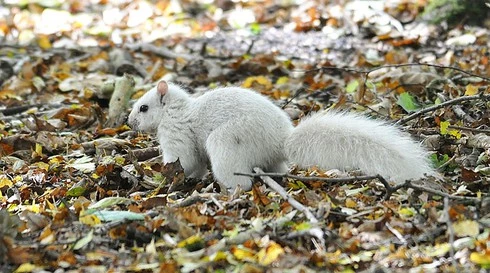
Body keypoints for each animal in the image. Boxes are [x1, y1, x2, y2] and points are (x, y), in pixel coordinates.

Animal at [128, 80, 434, 189]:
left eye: (143, 107)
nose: (129, 122)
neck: (176, 110)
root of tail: (280, 143)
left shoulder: (177, 134)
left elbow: (184, 161)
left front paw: (164, 177)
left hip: (226, 143)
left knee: (241, 182)